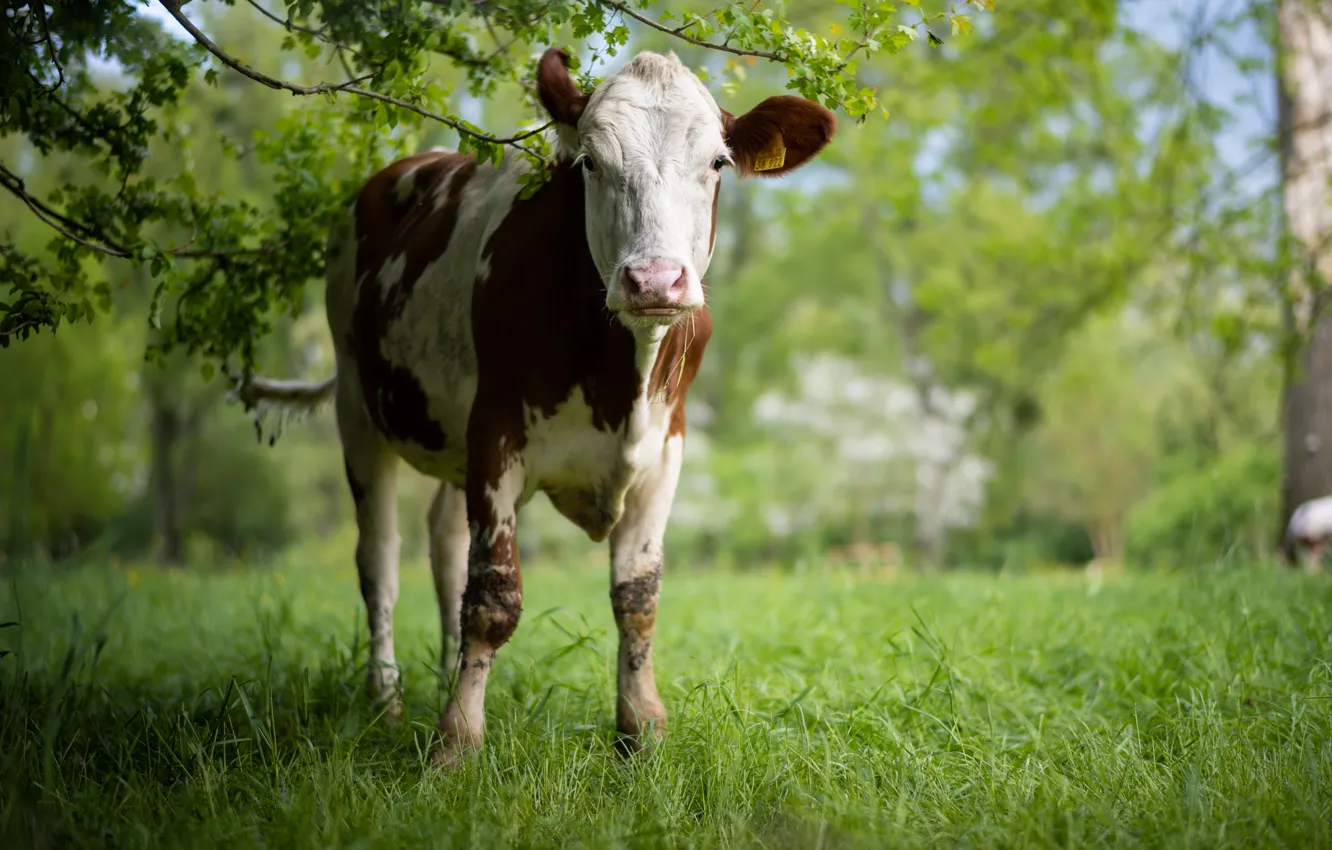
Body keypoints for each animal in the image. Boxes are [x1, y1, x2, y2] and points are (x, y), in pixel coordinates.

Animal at [236, 47, 836, 765]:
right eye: (591, 162)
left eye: (718, 162)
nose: (655, 280)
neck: (617, 378)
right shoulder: (497, 434)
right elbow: (494, 598)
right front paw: (456, 743)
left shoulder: (666, 447)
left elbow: (638, 596)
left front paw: (641, 731)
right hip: (359, 404)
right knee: (379, 558)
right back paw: (387, 702)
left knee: (445, 543)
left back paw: (442, 673)